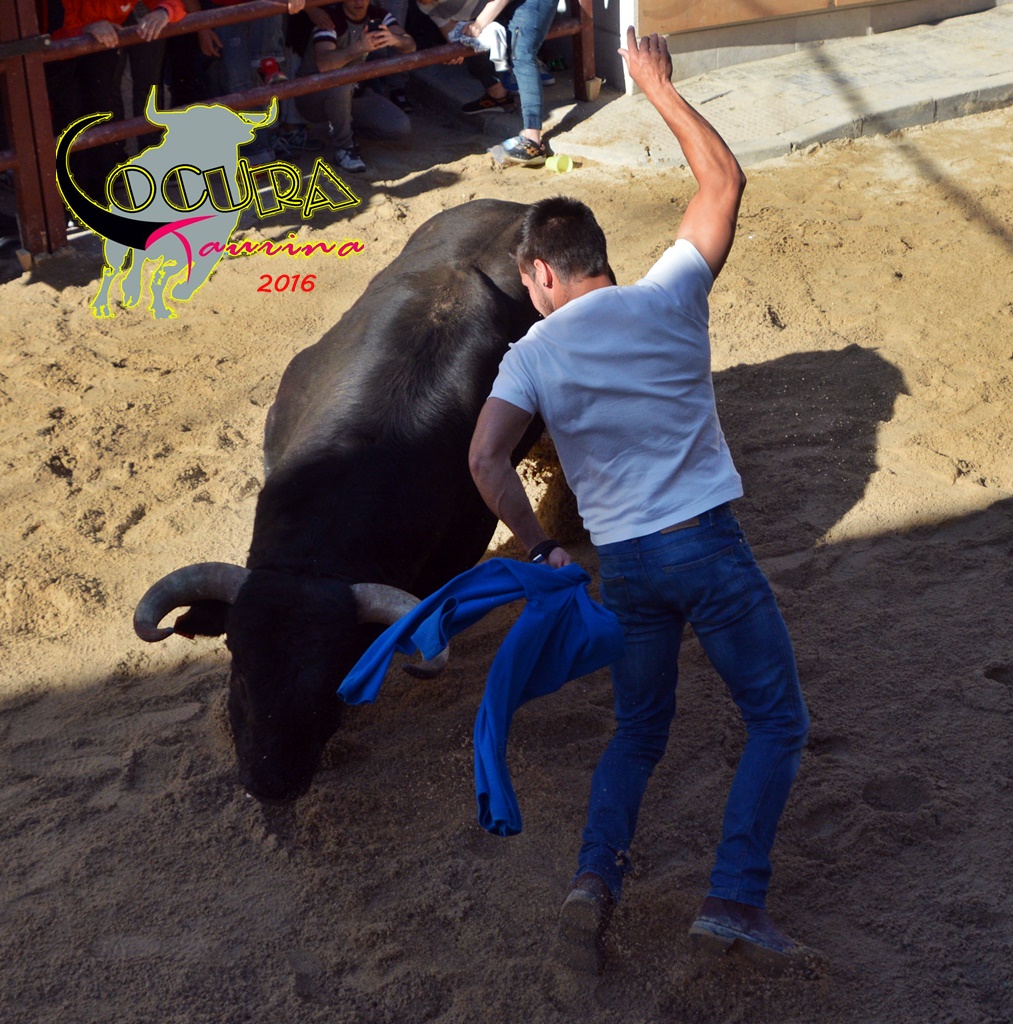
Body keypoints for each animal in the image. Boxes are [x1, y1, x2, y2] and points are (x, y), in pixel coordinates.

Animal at [55, 89, 278, 320]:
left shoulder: (214, 237)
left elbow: (189, 269)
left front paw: (178, 292)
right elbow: (159, 274)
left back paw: (132, 293)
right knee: (113, 269)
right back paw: (104, 305)